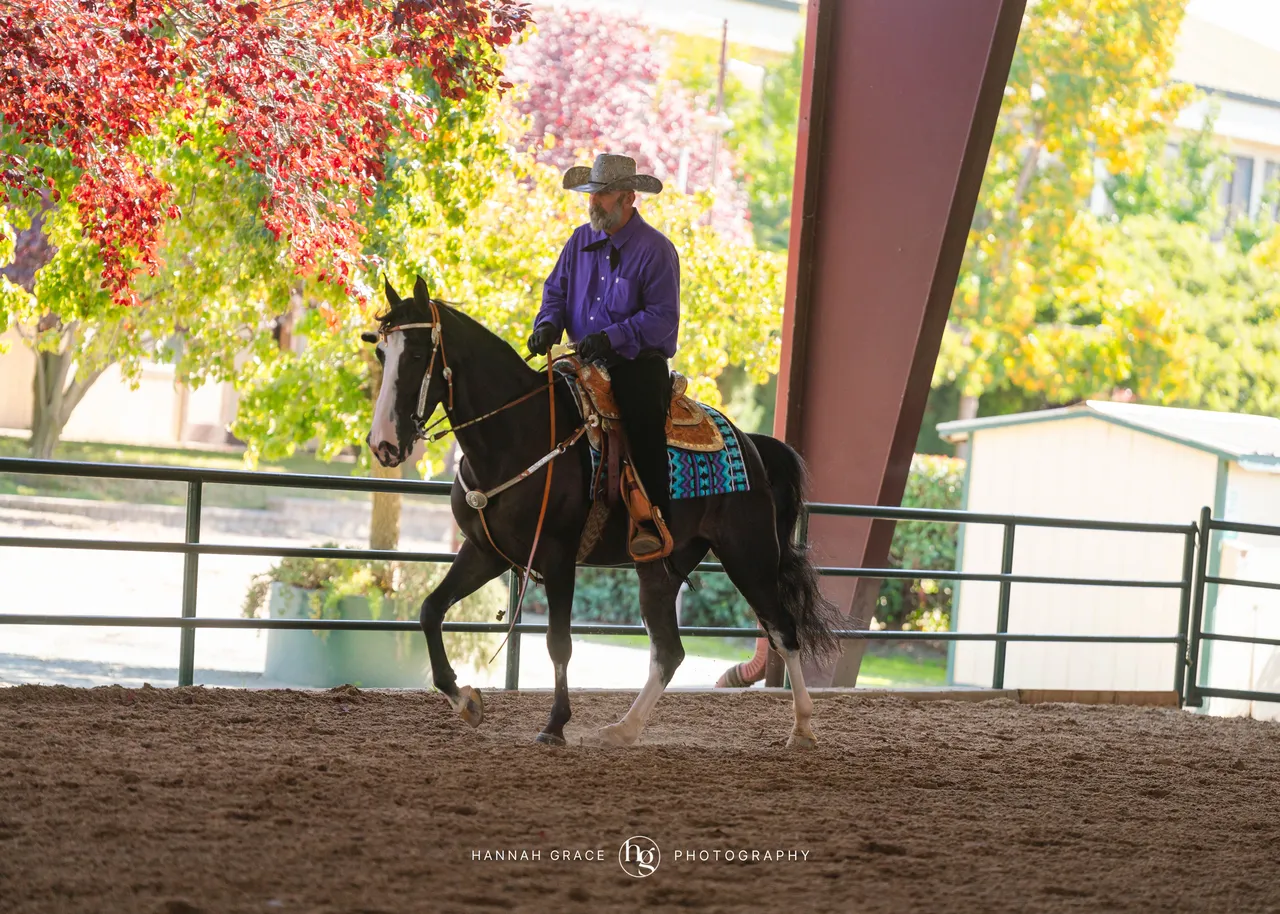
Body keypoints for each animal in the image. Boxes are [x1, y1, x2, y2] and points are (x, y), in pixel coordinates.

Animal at [363, 276, 839, 748]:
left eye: (419, 354)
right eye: (381, 353)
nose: (382, 443)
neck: (519, 435)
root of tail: (751, 442)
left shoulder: (557, 557)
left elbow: (558, 642)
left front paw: (555, 724)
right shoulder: (486, 551)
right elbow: (430, 610)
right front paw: (465, 700)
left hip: (749, 556)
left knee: (783, 631)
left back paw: (802, 728)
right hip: (660, 568)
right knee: (669, 651)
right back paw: (623, 729)